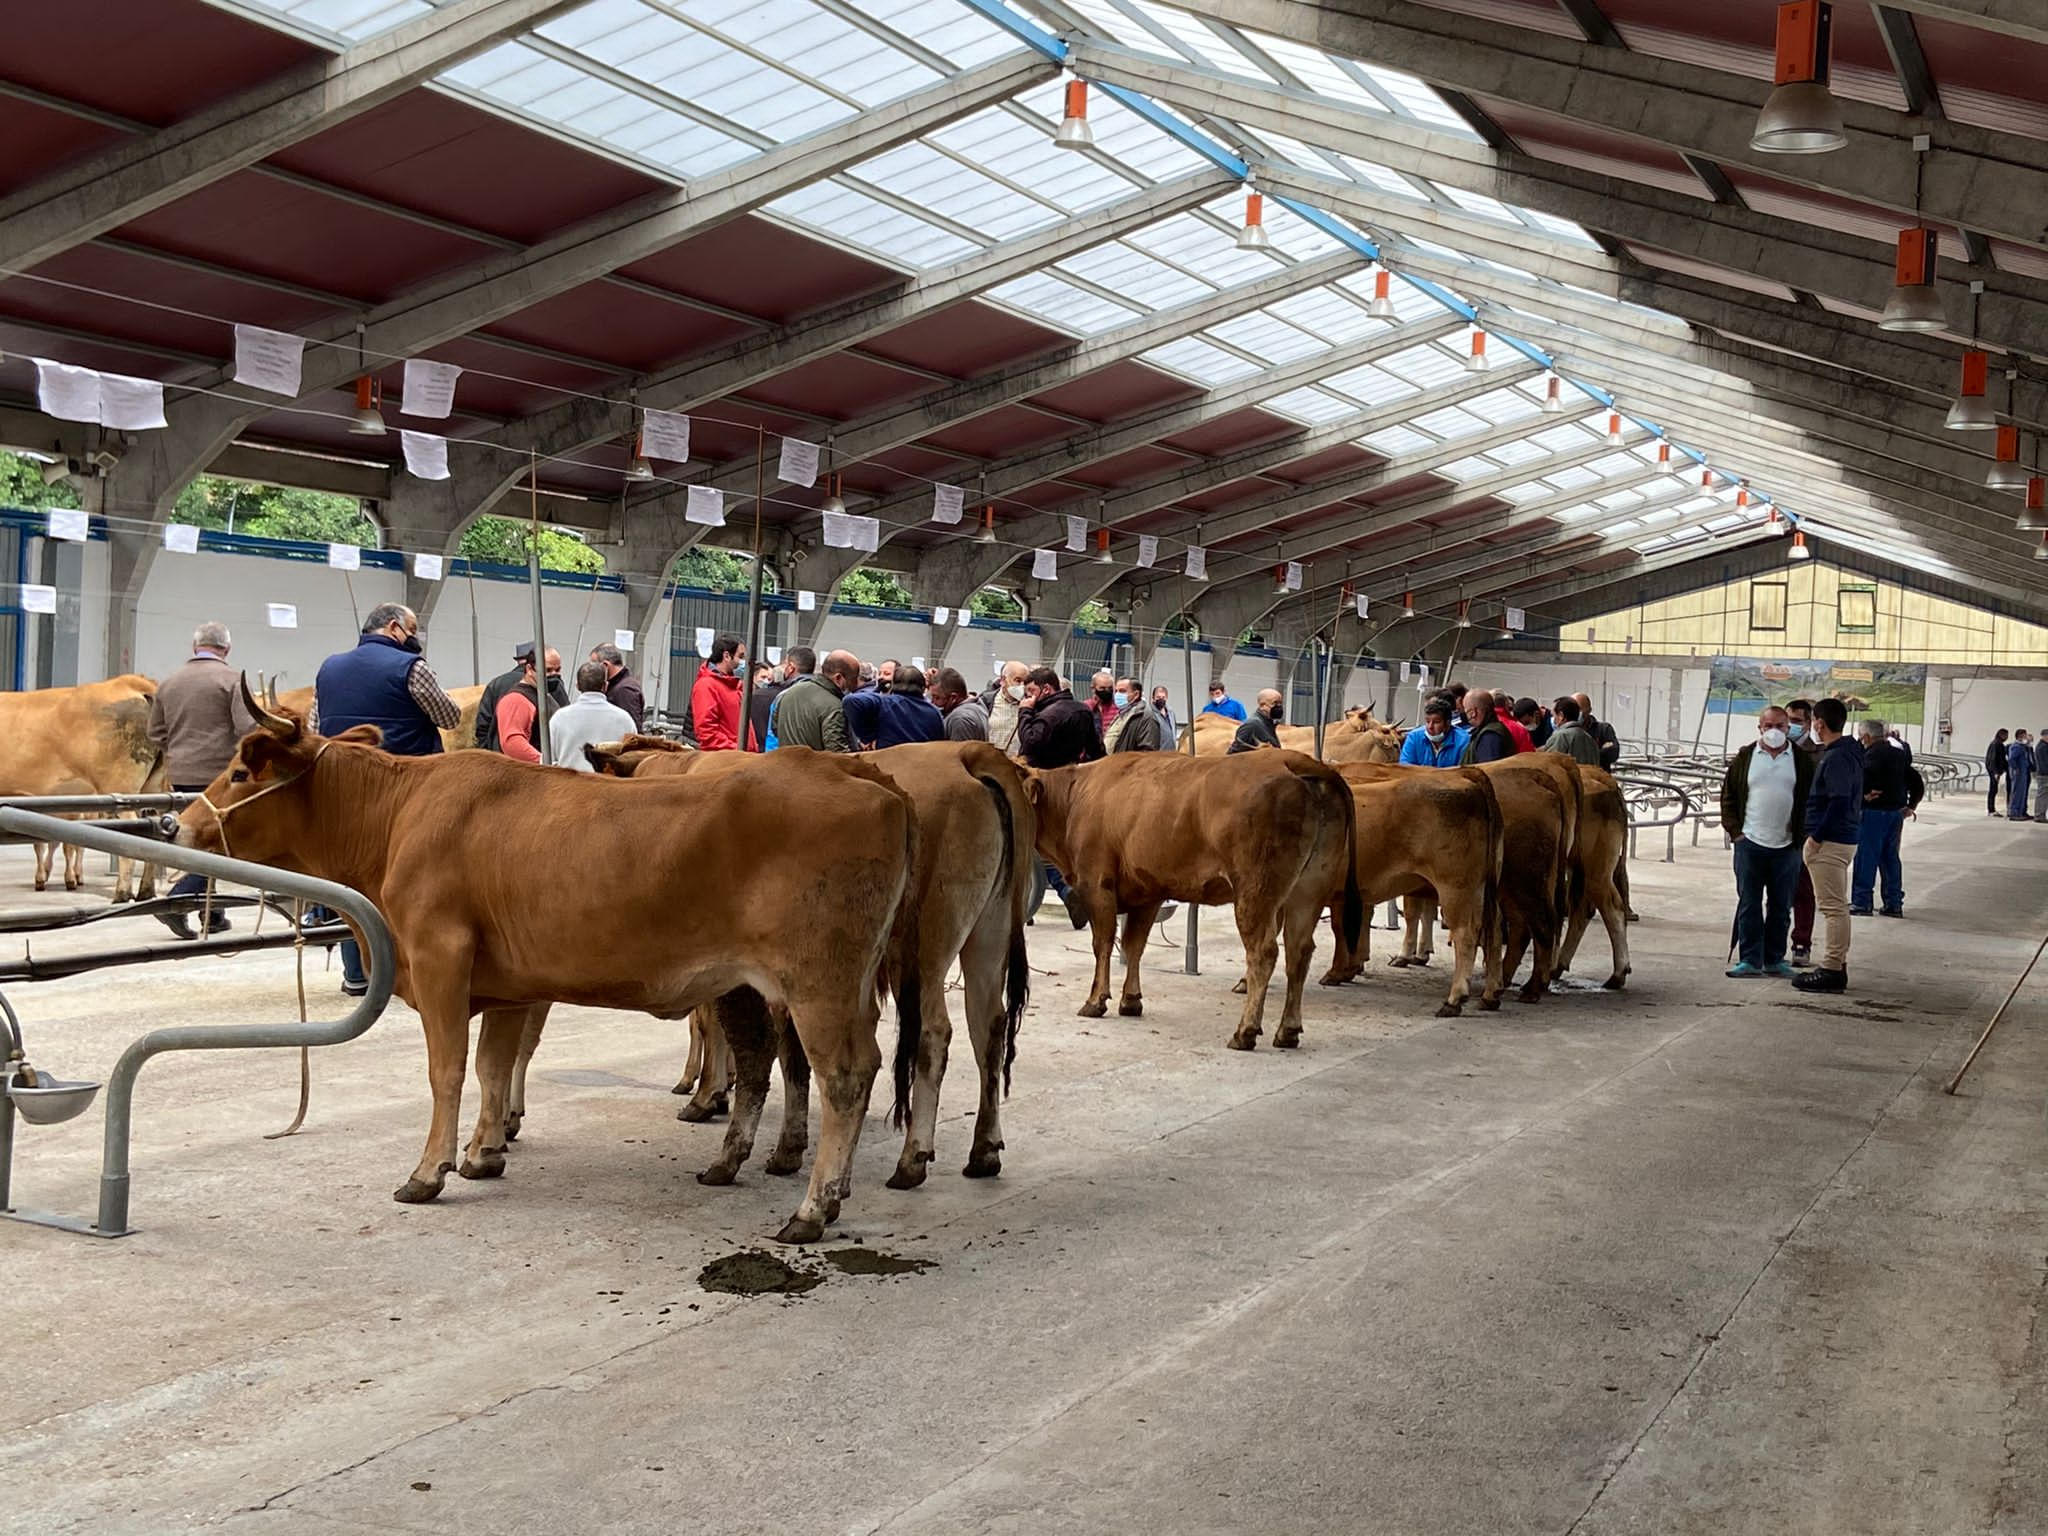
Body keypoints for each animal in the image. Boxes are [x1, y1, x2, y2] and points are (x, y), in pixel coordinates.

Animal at [180, 696, 925, 1253]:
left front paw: (429, 1170)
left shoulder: (440, 957)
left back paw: (813, 1208)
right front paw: (484, 1153)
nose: (178, 823)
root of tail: (859, 776)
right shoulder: (507, 982)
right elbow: (493, 1066)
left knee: (844, 1076)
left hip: (819, 984)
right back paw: (781, 1178)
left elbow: (448, 1070)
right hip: (796, 984)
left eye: (242, 772)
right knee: (810, 1062)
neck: (398, 815)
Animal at [593, 741, 1040, 1196]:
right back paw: (983, 1151)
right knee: (988, 1027)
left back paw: (911, 1161)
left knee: (934, 1034)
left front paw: (707, 1097)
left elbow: (723, 1029)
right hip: (988, 935)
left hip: (921, 953)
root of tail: (966, 752)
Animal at [1024, 753, 1359, 1056]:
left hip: (1255, 891)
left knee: (1263, 953)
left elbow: (1103, 943)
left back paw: (1245, 1032)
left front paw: (1096, 1001)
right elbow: (1134, 945)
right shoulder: (1147, 891)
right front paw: (1131, 999)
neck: (1073, 797)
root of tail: (1296, 761)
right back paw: (1288, 1031)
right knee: (1298, 952)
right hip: (1309, 889)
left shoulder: (1097, 884)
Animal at [1318, 765, 1515, 1015]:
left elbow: (1340, 929)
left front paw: (1338, 972)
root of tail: (1465, 775)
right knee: (1494, 930)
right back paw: (1491, 995)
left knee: (1466, 934)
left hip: (1456, 887)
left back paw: (1454, 1000)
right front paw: (1347, 970)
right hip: (1482, 887)